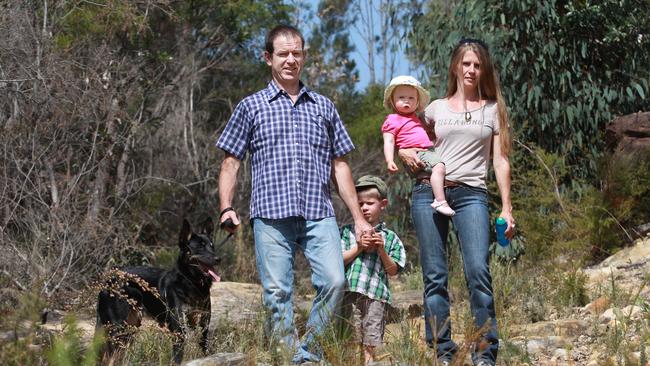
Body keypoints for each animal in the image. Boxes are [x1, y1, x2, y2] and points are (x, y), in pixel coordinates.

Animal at [95, 217, 219, 364]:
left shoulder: (203, 328)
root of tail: (107, 282)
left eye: (212, 246)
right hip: (118, 329)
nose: (218, 259)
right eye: (200, 247)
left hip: (130, 328)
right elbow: (177, 358)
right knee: (109, 359)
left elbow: (205, 351)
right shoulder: (179, 332)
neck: (191, 283)